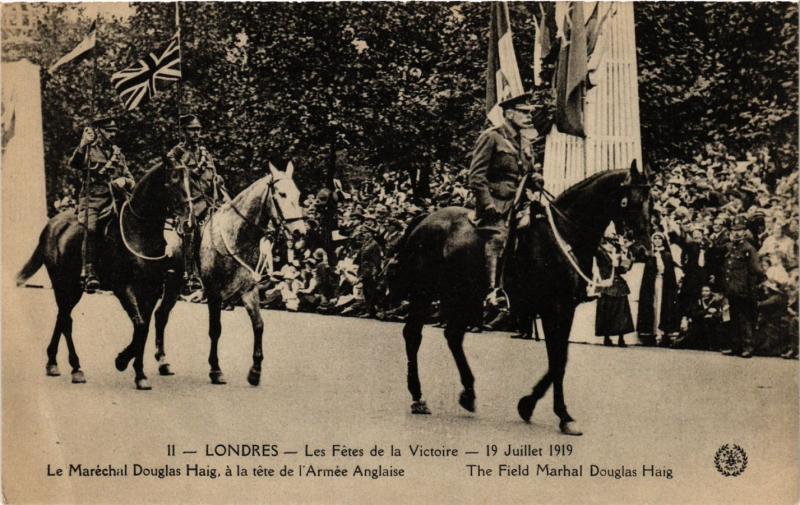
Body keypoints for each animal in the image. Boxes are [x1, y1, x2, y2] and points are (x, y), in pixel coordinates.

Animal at [17, 163, 183, 388]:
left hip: (74, 288)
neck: (139, 231)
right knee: (66, 320)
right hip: (63, 283)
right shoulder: (124, 288)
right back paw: (76, 368)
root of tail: (51, 224)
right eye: (174, 179)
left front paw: (139, 373)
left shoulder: (152, 290)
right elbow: (140, 326)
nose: (190, 216)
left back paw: (52, 362)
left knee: (62, 316)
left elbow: (143, 329)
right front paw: (122, 361)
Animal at [388, 160, 648, 434]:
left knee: (453, 336)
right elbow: (557, 360)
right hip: (424, 293)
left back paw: (468, 393)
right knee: (413, 335)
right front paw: (561, 414)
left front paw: (530, 405)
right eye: (629, 201)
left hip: (462, 295)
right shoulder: (553, 307)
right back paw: (418, 397)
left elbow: (560, 359)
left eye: (650, 201)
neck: (564, 237)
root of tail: (425, 218)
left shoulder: (567, 308)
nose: (643, 249)